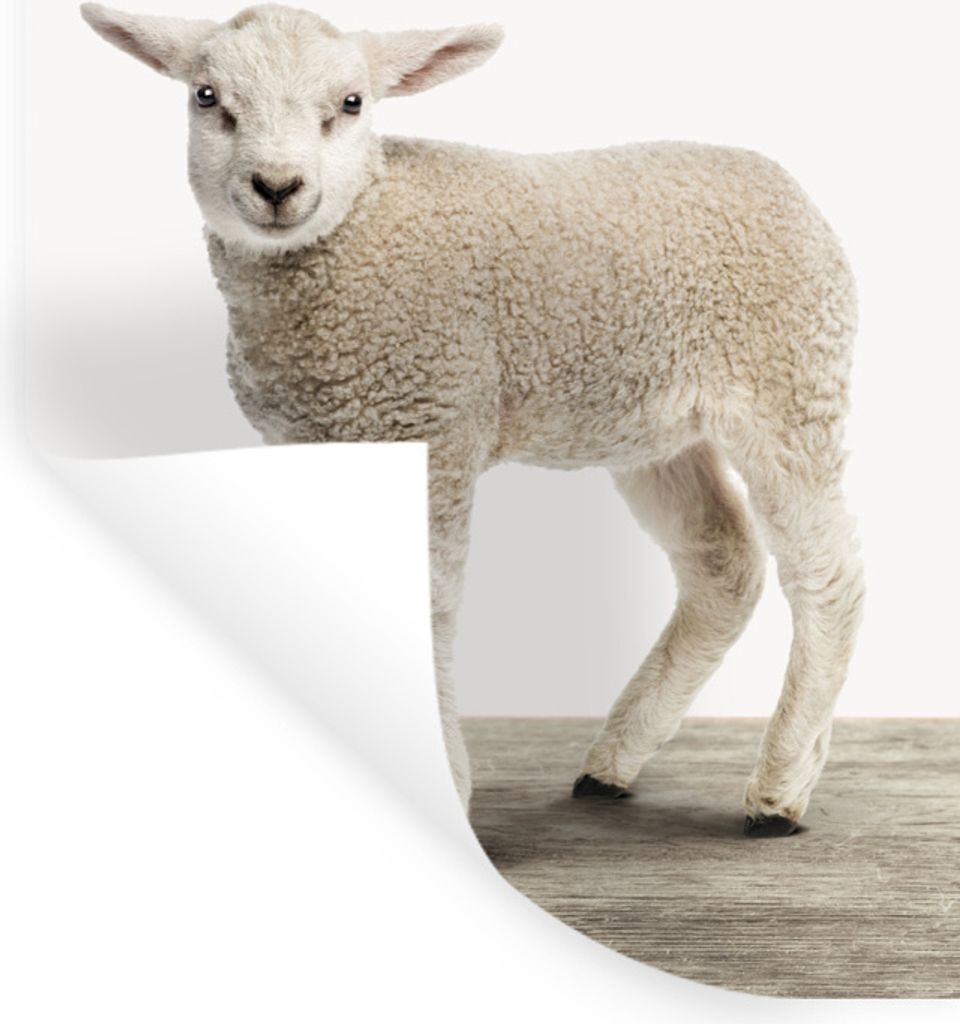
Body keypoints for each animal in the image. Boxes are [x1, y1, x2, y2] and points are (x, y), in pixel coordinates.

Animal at [81, 2, 865, 838]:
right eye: (207, 97)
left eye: (352, 104)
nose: (277, 186)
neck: (362, 226)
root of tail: (783, 181)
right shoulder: (312, 437)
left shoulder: (434, 424)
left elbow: (429, 607)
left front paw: (444, 786)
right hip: (649, 419)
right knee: (723, 563)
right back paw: (614, 762)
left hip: (790, 382)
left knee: (828, 575)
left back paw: (780, 789)